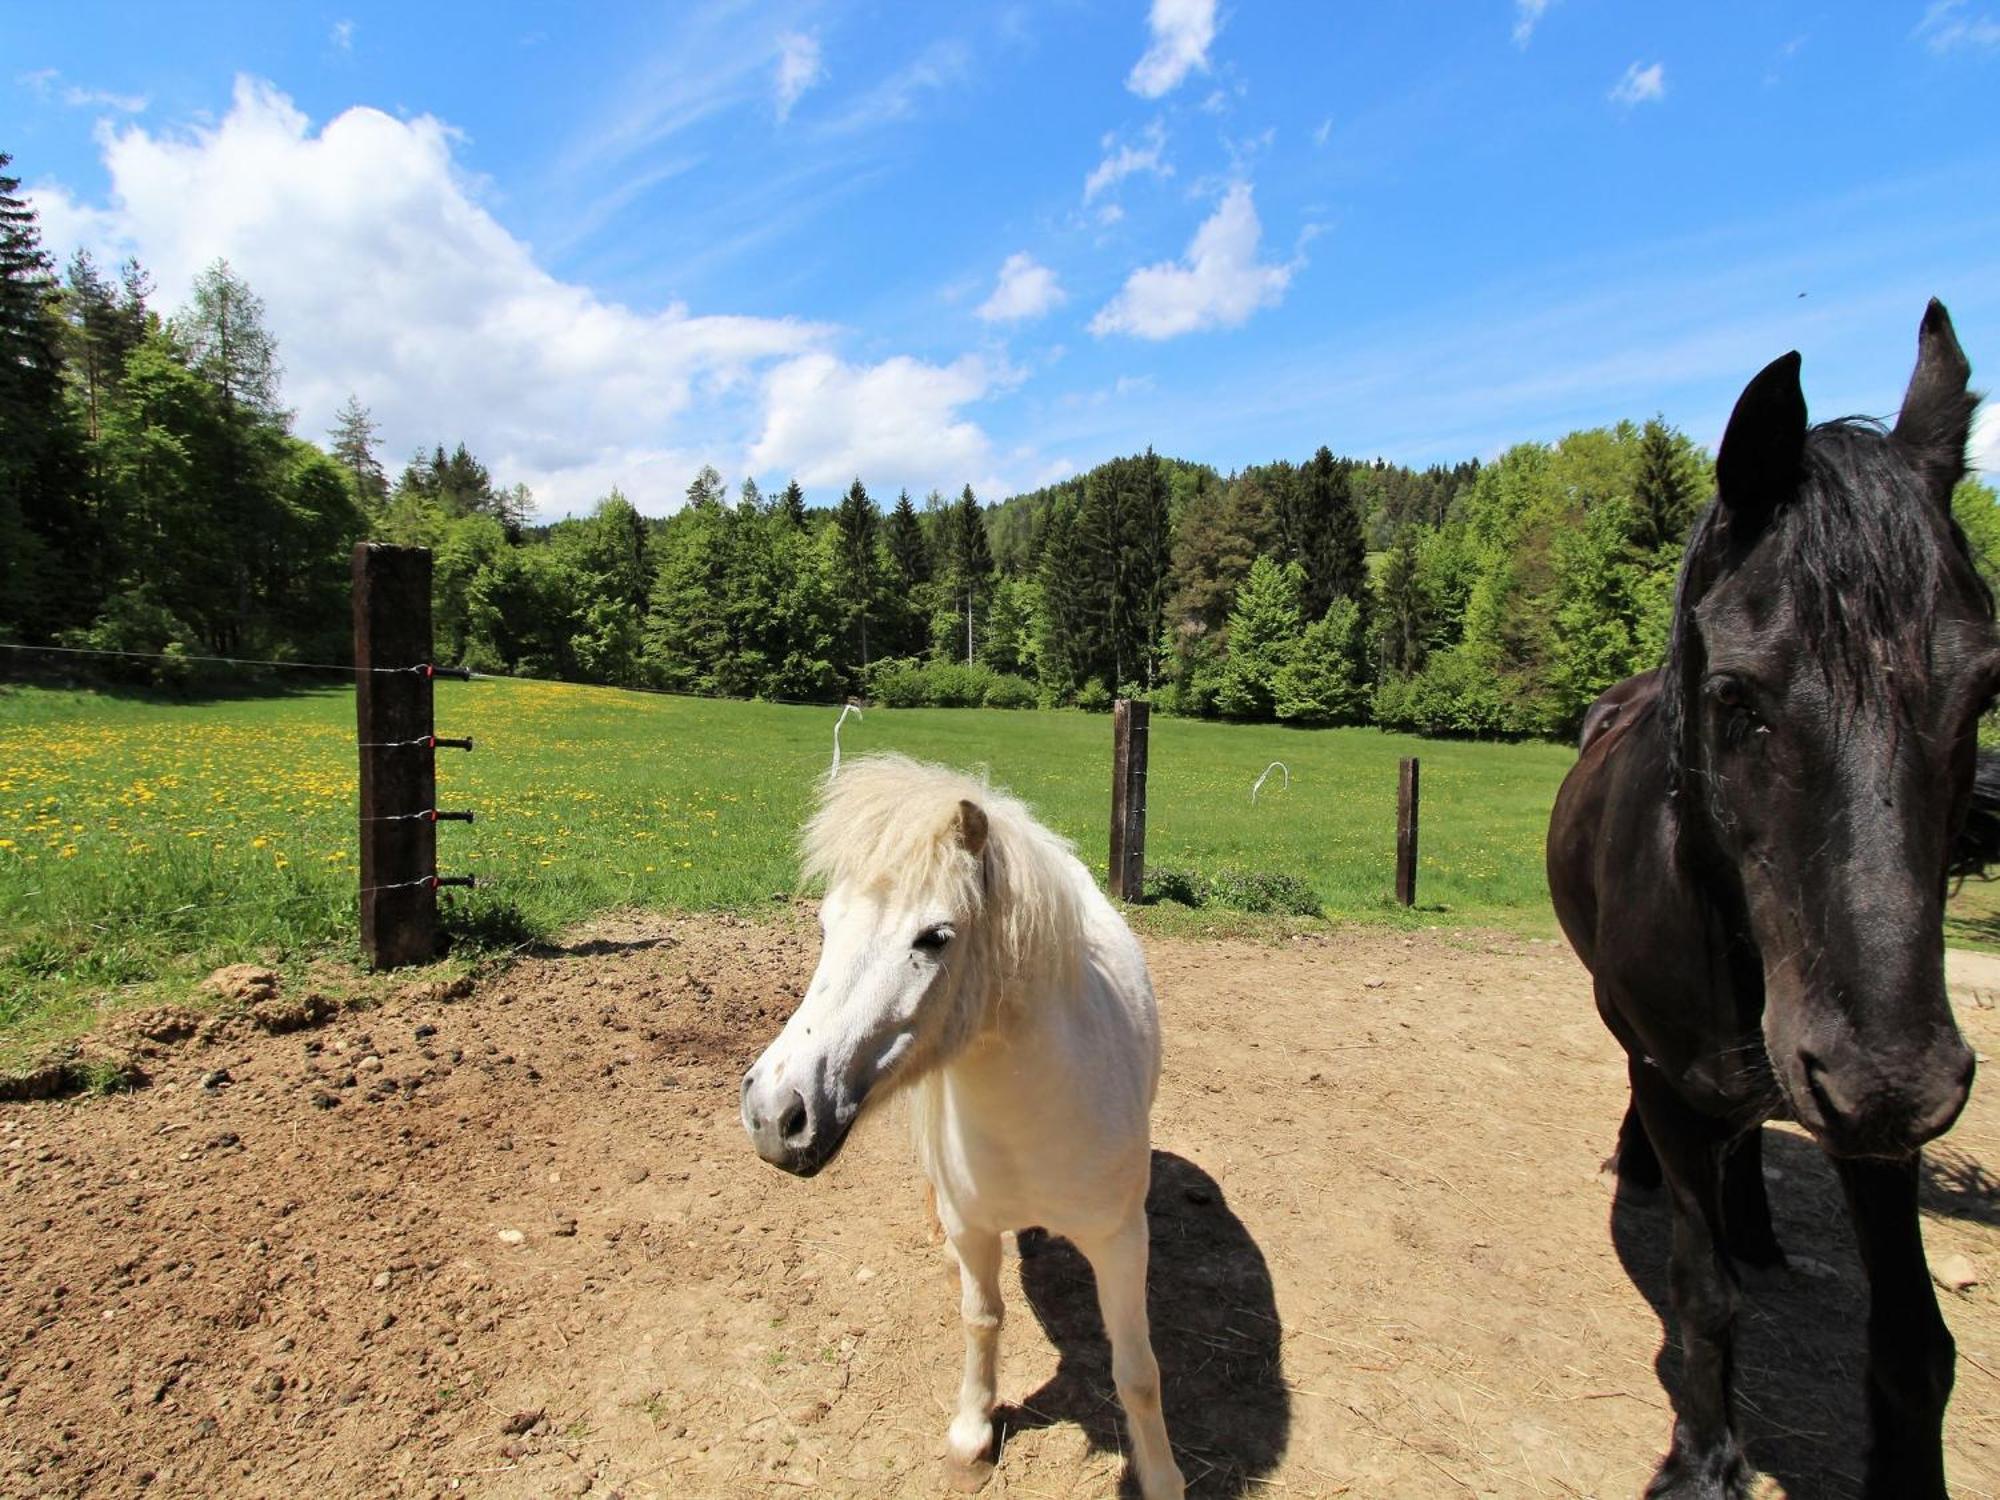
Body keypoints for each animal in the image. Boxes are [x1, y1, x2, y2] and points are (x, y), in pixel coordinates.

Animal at [752, 764, 1184, 1500]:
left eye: (934, 938)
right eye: (825, 924)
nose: (773, 1114)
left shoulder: (1122, 1239)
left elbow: (1138, 1371)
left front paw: (1162, 1476)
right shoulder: (973, 1226)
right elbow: (981, 1319)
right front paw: (972, 1434)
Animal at [1544, 300, 2000, 1496]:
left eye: (1985, 688)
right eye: (1736, 695)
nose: (1891, 1081)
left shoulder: (1870, 1128)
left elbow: (1914, 1343)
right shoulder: (1673, 1071)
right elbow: (1701, 1297)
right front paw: (1703, 1460)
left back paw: (1753, 1217)